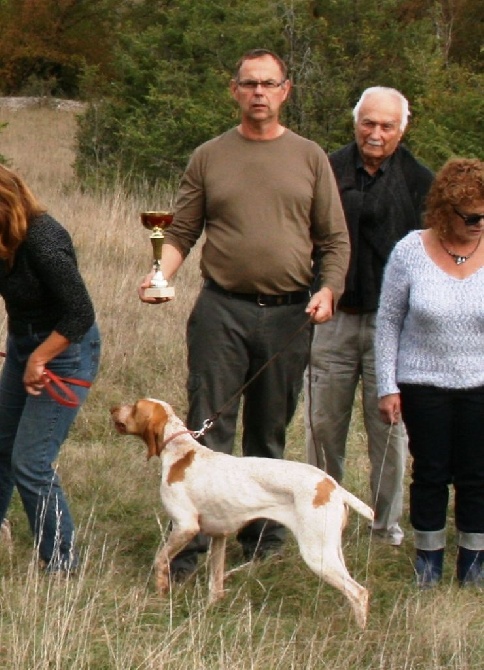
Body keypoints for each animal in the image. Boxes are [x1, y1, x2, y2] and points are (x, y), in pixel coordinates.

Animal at [110, 400, 374, 632]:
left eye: (134, 406)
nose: (113, 408)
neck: (180, 451)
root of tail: (331, 485)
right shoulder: (219, 536)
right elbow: (215, 585)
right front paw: (211, 611)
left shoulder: (185, 526)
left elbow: (160, 561)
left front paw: (162, 594)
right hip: (330, 549)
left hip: (316, 553)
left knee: (359, 592)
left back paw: (358, 633)